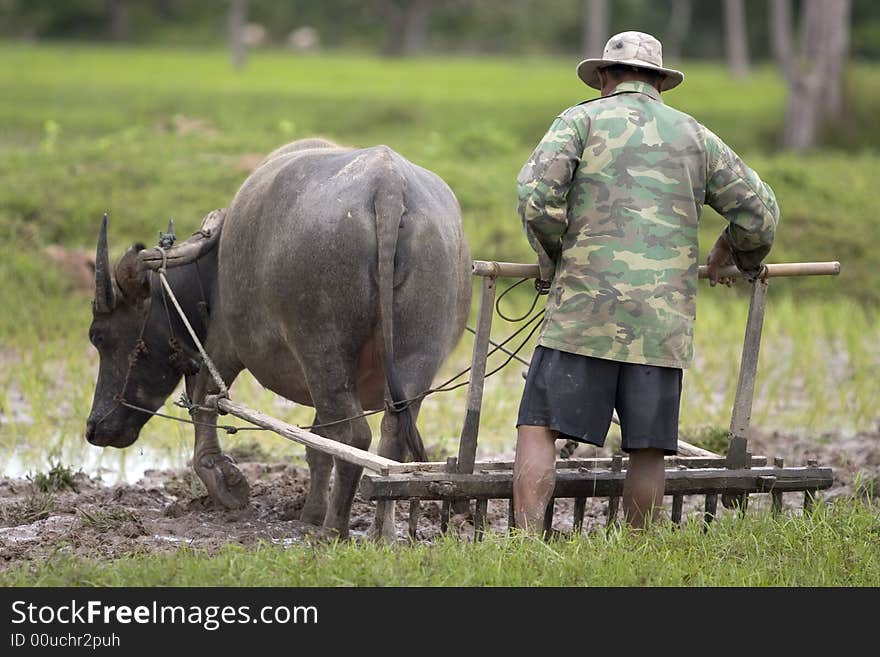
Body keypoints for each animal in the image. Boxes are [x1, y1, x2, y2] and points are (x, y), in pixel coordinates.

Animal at [87, 137, 474, 532]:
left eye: (99, 336)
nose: (94, 428)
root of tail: (389, 185)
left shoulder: (222, 344)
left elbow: (204, 401)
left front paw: (224, 482)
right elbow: (317, 445)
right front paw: (310, 512)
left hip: (322, 349)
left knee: (354, 437)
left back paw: (333, 530)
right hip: (414, 355)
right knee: (390, 439)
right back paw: (381, 532)